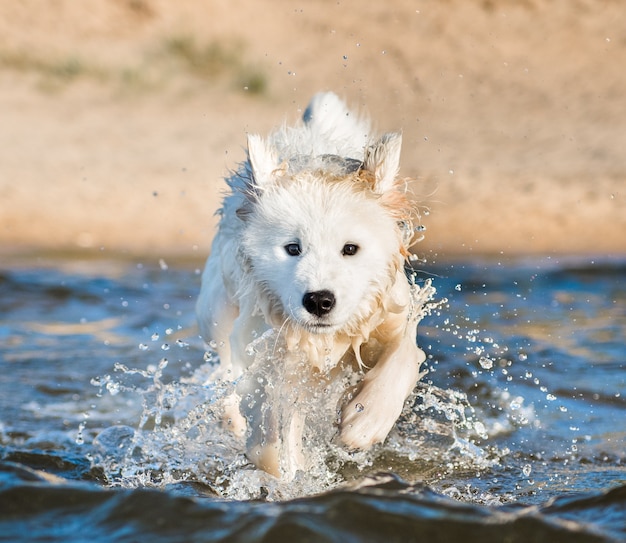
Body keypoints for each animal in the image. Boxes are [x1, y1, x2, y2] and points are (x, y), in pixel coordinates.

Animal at [196, 93, 428, 480]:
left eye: (350, 249)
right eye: (293, 248)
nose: (319, 301)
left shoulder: (391, 312)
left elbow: (403, 358)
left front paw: (364, 422)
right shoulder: (271, 344)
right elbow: (270, 410)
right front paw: (284, 465)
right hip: (217, 309)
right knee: (224, 364)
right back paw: (231, 417)